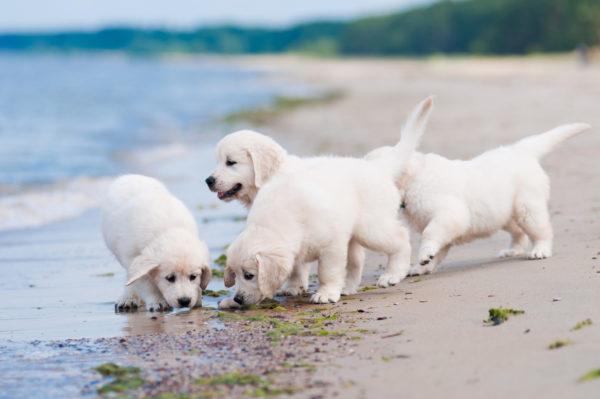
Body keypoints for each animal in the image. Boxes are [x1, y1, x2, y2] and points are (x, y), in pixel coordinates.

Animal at [104, 175, 212, 312]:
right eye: (170, 278)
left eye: (193, 277)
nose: (184, 301)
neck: (167, 229)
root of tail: (130, 176)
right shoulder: (133, 258)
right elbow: (144, 283)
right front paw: (157, 301)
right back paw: (128, 298)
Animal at [366, 119, 592, 276]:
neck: (414, 178)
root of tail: (520, 150)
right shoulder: (447, 226)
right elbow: (439, 246)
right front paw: (423, 266)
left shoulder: (450, 215)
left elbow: (431, 233)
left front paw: (424, 256)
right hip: (503, 214)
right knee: (518, 232)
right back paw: (512, 250)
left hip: (527, 207)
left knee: (541, 230)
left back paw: (540, 250)